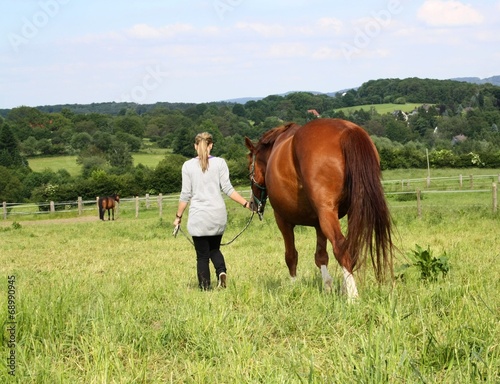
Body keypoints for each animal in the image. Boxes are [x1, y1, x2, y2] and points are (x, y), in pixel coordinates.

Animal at [244, 118, 392, 298]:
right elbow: (321, 256)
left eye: (249, 168)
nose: (253, 203)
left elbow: (291, 255)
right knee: (350, 248)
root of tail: (347, 130)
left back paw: (352, 296)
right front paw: (328, 287)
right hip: (350, 211)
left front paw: (293, 287)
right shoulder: (318, 224)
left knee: (340, 247)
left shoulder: (283, 220)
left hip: (327, 213)